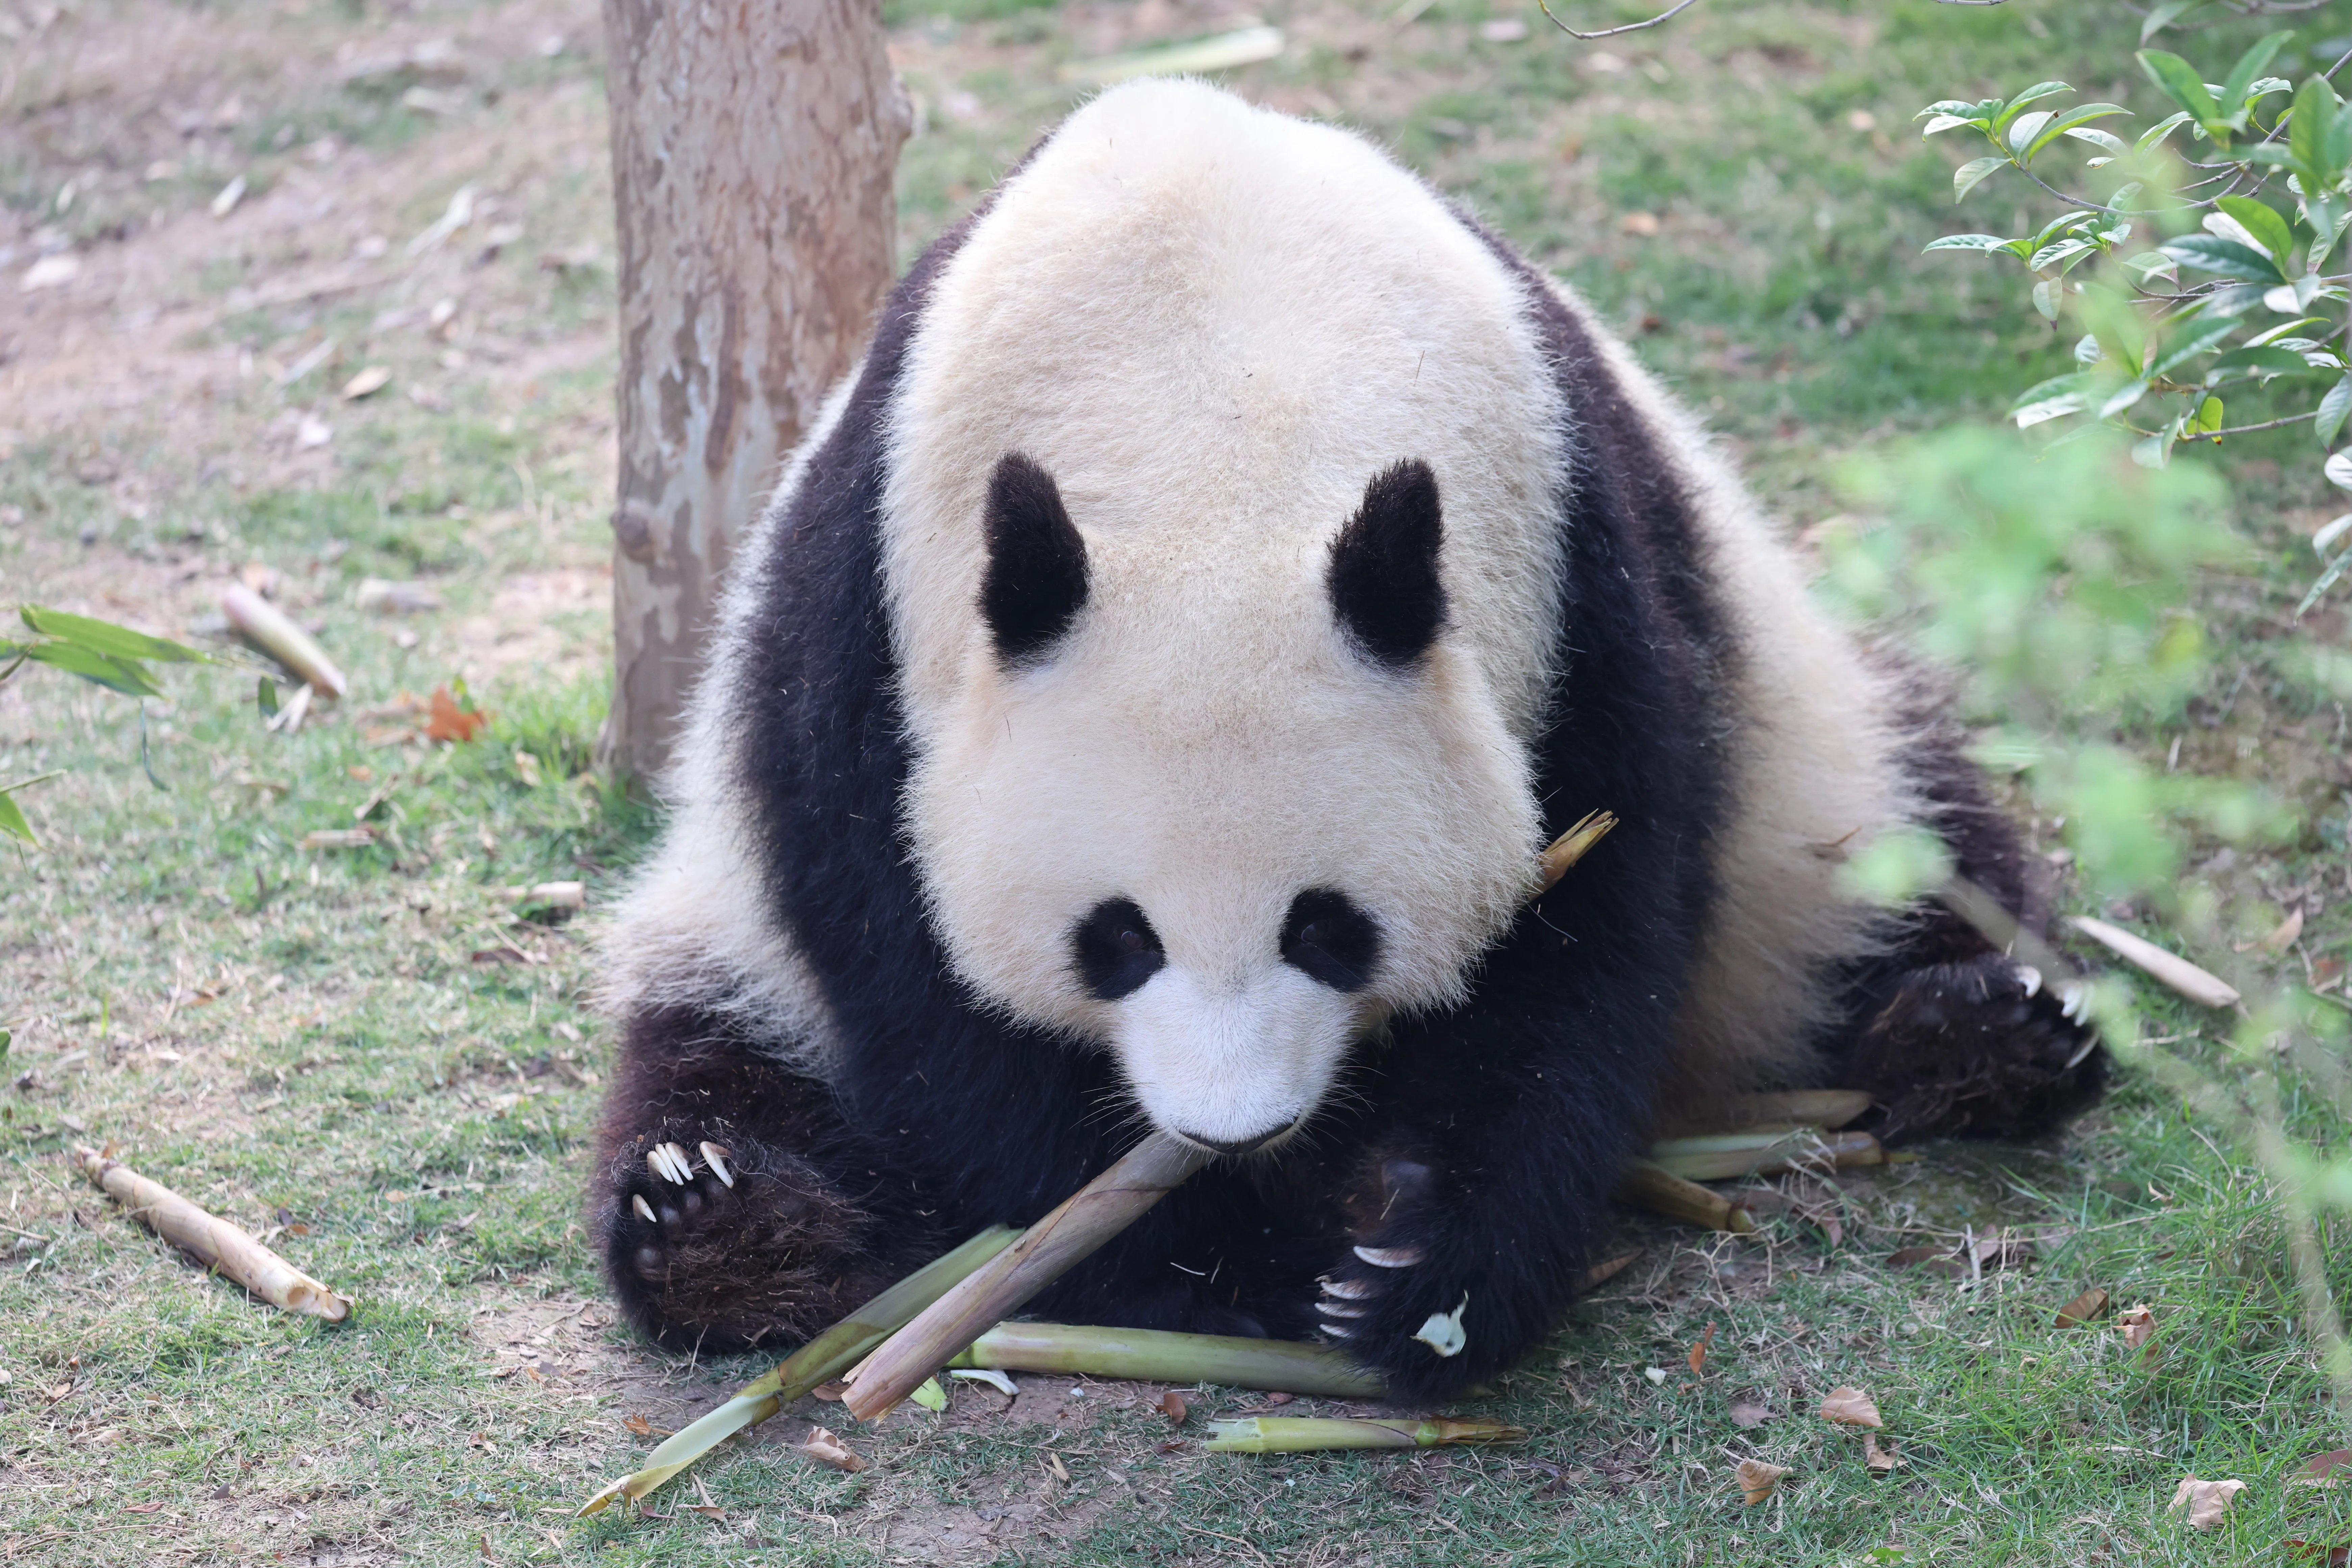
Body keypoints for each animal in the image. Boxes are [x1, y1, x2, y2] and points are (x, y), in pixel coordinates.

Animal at [593, 79, 2103, 1399]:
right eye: (1114, 939)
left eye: (1329, 928)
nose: (1233, 1130)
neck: (1207, 420)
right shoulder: (869, 627)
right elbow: (930, 996)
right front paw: (1234, 1260)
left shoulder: (1580, 568)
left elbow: (1582, 934)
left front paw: (1414, 1274)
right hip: (725, 922)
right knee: (719, 1055)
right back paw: (723, 1224)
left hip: (1809, 766)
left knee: (1909, 843)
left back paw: (1991, 1029)